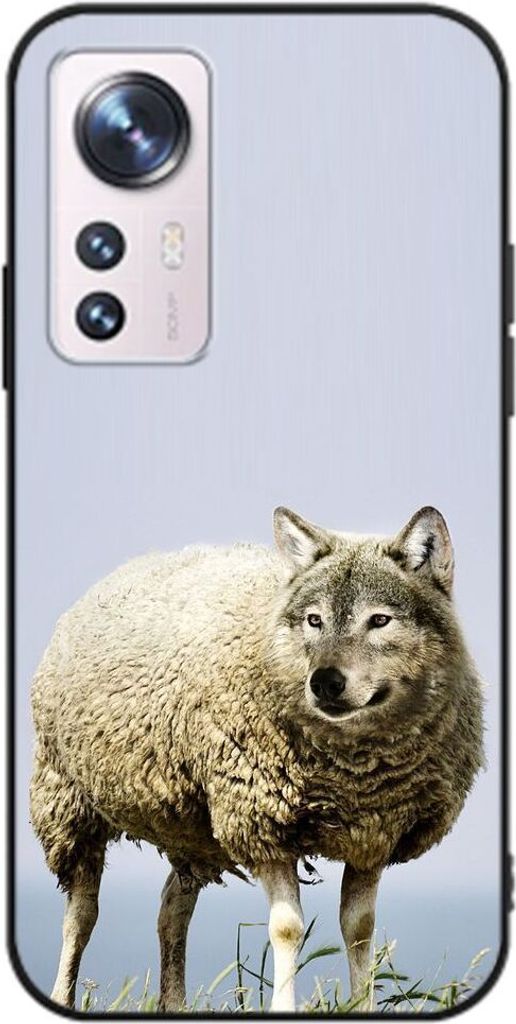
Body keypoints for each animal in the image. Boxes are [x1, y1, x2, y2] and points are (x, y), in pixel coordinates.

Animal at [30, 506, 484, 1012]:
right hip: (67, 800)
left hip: (192, 828)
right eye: (313, 619)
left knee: (171, 909)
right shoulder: (262, 823)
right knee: (81, 914)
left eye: (381, 620)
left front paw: (361, 1003)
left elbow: (360, 930)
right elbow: (287, 929)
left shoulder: (373, 835)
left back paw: (175, 1003)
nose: (324, 682)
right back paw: (64, 991)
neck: (355, 773)